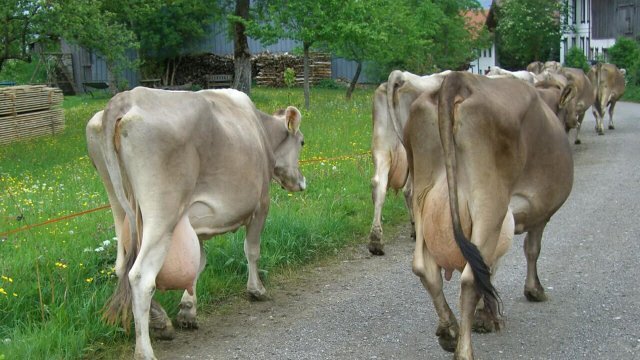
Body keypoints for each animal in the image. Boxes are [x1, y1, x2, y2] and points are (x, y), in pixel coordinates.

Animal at [86, 87, 306, 360]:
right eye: (302, 142)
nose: (301, 182)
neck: (259, 128)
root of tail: (126, 98)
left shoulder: (195, 223)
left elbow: (199, 262)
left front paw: (187, 310)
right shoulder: (261, 204)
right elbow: (252, 250)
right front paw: (257, 290)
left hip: (118, 203)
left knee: (121, 267)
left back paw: (161, 321)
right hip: (162, 213)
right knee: (140, 276)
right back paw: (145, 350)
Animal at [404, 71, 576, 358]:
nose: (574, 120)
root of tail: (458, 80)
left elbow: (491, 267)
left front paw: (483, 316)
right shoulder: (539, 214)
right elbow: (529, 250)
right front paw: (533, 291)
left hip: (422, 195)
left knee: (425, 268)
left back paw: (449, 330)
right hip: (489, 204)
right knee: (470, 278)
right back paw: (464, 349)